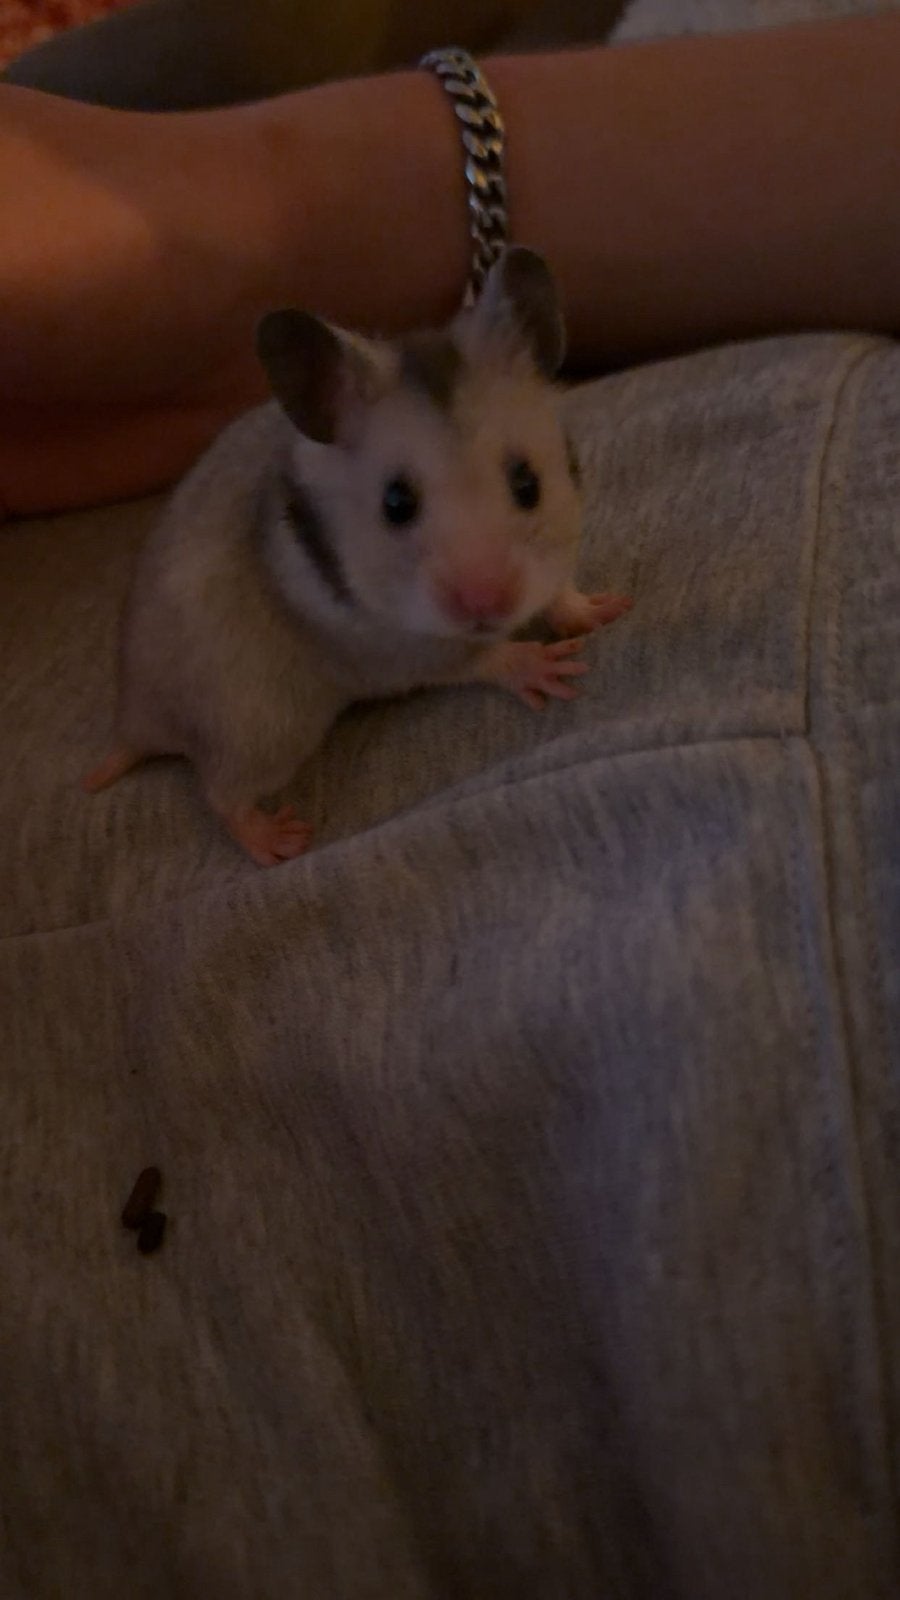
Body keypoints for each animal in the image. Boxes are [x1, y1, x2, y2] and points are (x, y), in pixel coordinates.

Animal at [83, 247, 631, 866]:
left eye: (527, 483)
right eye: (395, 503)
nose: (485, 603)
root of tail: (134, 719)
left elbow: (560, 593)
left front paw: (607, 608)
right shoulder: (399, 651)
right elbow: (483, 659)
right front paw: (550, 668)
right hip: (261, 725)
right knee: (220, 794)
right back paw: (280, 841)